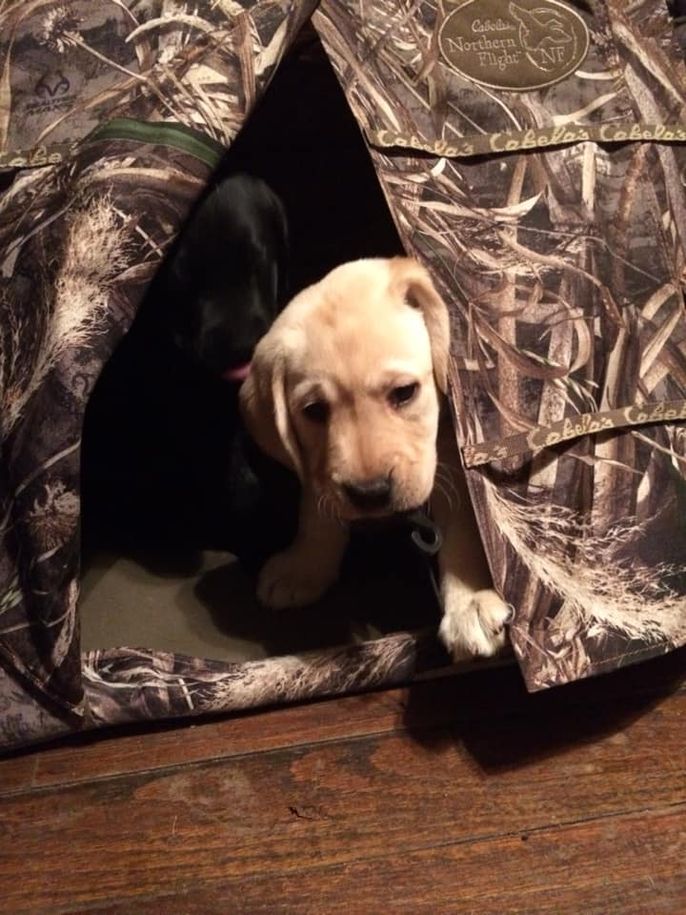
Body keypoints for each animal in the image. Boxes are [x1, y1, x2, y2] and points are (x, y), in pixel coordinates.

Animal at [239, 256, 512, 660]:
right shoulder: (319, 468)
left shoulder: (453, 458)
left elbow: (466, 527)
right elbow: (316, 505)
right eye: (314, 410)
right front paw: (304, 564)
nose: (370, 493)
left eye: (404, 392)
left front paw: (470, 603)